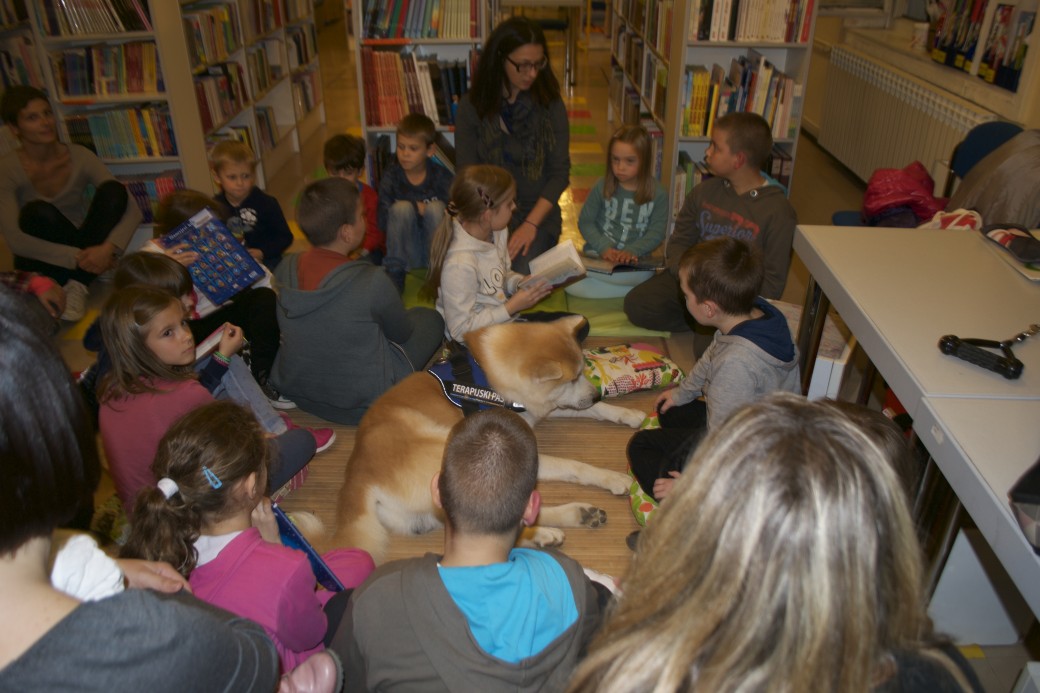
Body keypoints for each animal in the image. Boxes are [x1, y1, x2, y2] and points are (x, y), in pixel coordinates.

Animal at [332, 314, 640, 561]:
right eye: (572, 378)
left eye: (582, 372)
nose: (595, 394)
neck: (490, 381)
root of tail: (356, 476)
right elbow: (574, 466)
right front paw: (614, 478)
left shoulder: (538, 409)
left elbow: (595, 411)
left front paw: (628, 414)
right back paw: (556, 526)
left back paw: (568, 522)